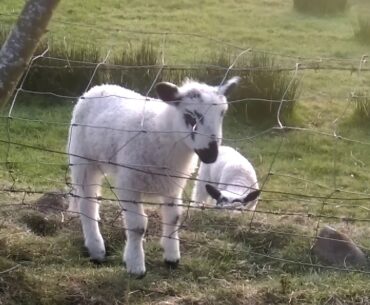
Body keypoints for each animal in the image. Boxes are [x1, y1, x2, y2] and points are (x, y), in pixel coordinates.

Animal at [67, 75, 240, 276]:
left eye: (222, 113)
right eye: (190, 116)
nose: (211, 155)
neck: (164, 133)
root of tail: (98, 88)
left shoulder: (173, 186)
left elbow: (174, 218)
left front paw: (172, 257)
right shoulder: (128, 182)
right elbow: (137, 226)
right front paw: (136, 265)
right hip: (82, 159)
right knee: (87, 202)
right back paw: (96, 248)